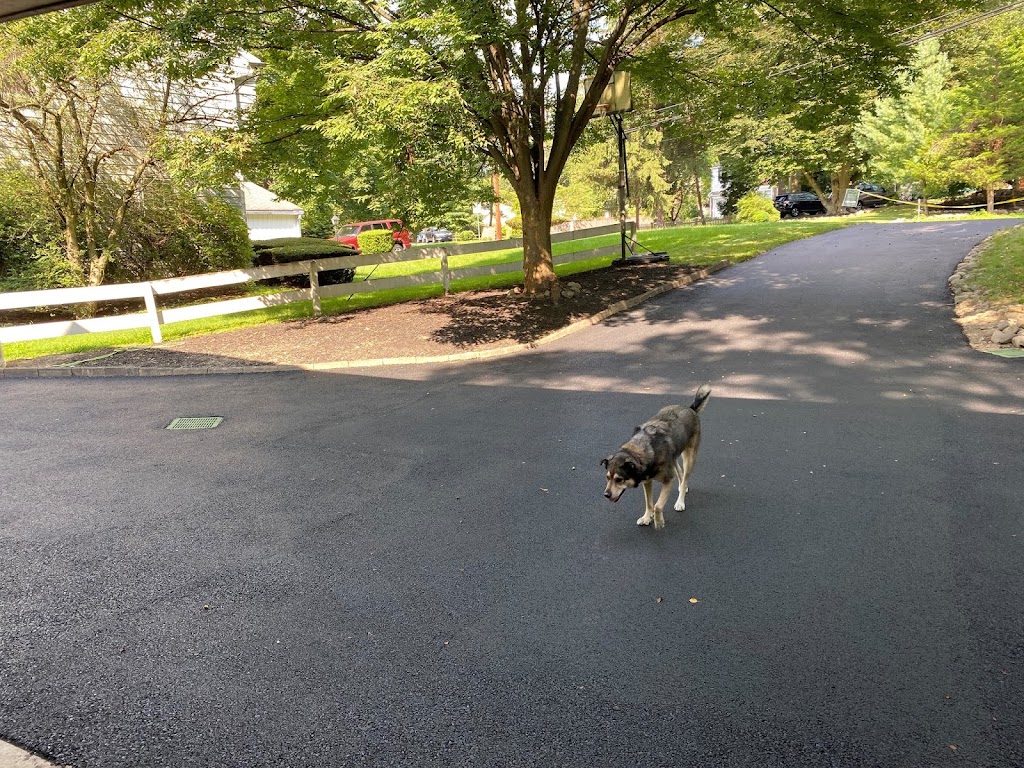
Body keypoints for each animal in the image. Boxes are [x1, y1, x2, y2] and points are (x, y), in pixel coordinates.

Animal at [601, 384, 711, 530]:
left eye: (619, 480)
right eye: (607, 478)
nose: (606, 495)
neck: (642, 449)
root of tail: (690, 408)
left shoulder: (668, 480)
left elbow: (658, 506)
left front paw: (658, 521)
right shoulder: (647, 481)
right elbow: (649, 503)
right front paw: (647, 517)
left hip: (690, 457)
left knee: (685, 474)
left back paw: (680, 500)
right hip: (674, 457)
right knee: (679, 471)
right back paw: (682, 486)